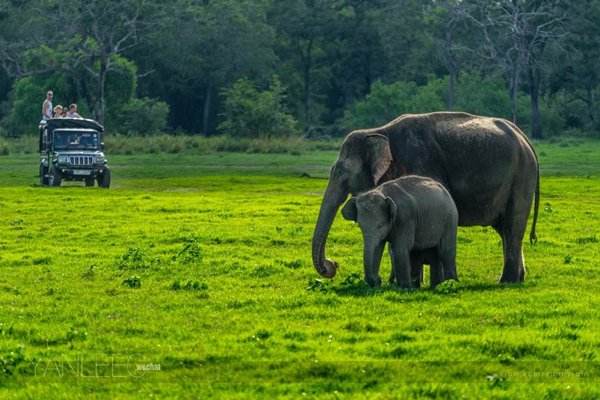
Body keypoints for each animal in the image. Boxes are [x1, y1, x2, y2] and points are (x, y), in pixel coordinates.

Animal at [314, 111, 540, 282]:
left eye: (341, 173)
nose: (333, 264)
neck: (378, 131)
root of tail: (525, 138)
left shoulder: (420, 162)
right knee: (505, 229)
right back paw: (518, 278)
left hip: (521, 176)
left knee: (512, 226)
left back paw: (506, 281)